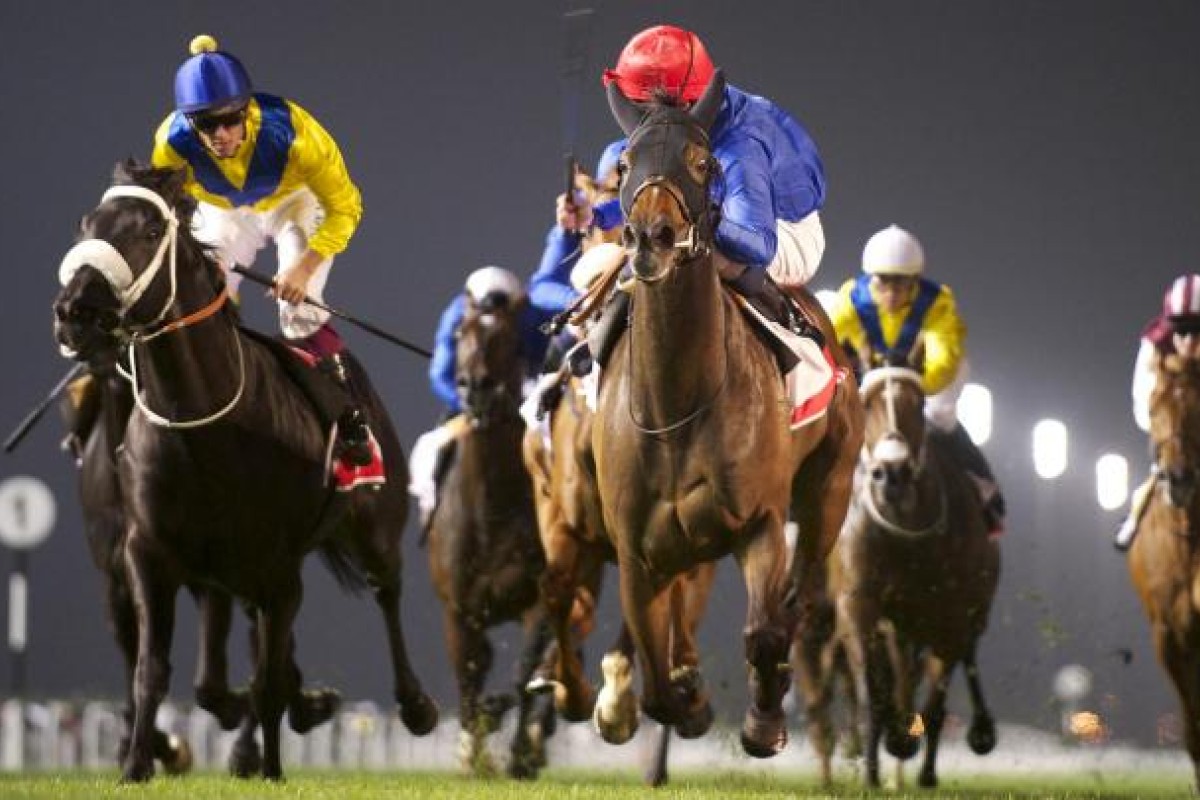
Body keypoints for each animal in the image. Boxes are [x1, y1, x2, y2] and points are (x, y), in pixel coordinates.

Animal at [52, 163, 436, 782]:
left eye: (147, 231)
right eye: (87, 224)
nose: (74, 313)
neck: (202, 424)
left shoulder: (276, 569)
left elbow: (268, 680)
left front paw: (272, 765)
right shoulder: (148, 555)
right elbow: (153, 671)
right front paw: (137, 765)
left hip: (373, 527)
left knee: (387, 590)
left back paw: (415, 704)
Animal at [422, 292, 552, 777]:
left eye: (509, 337)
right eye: (459, 332)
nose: (476, 386)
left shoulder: (541, 595)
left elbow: (526, 671)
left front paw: (520, 751)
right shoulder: (459, 609)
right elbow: (469, 673)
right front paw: (472, 751)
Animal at [592, 70, 864, 758]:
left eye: (704, 162)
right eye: (625, 164)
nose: (651, 237)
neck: (676, 404)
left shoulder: (761, 521)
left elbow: (765, 631)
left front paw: (764, 723)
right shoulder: (636, 547)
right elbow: (656, 679)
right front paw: (678, 702)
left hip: (829, 492)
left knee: (799, 595)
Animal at [830, 367, 998, 786]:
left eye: (919, 404)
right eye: (867, 404)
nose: (893, 474)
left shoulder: (951, 617)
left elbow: (936, 704)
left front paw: (924, 770)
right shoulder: (860, 604)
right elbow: (875, 691)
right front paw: (873, 772)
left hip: (968, 613)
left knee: (964, 658)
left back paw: (976, 732)